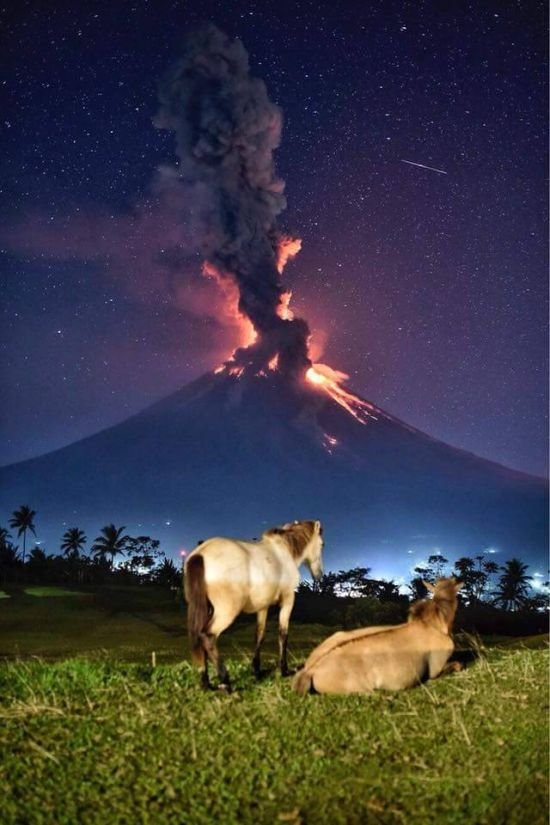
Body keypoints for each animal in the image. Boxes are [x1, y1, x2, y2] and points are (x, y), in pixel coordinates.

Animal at [183, 520, 326, 688]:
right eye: (322, 544)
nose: (320, 574)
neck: (283, 551)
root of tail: (201, 553)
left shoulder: (263, 606)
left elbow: (259, 635)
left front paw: (256, 670)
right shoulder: (288, 600)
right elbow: (283, 634)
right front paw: (284, 670)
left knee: (199, 636)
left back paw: (206, 683)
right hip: (227, 611)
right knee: (207, 636)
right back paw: (225, 681)